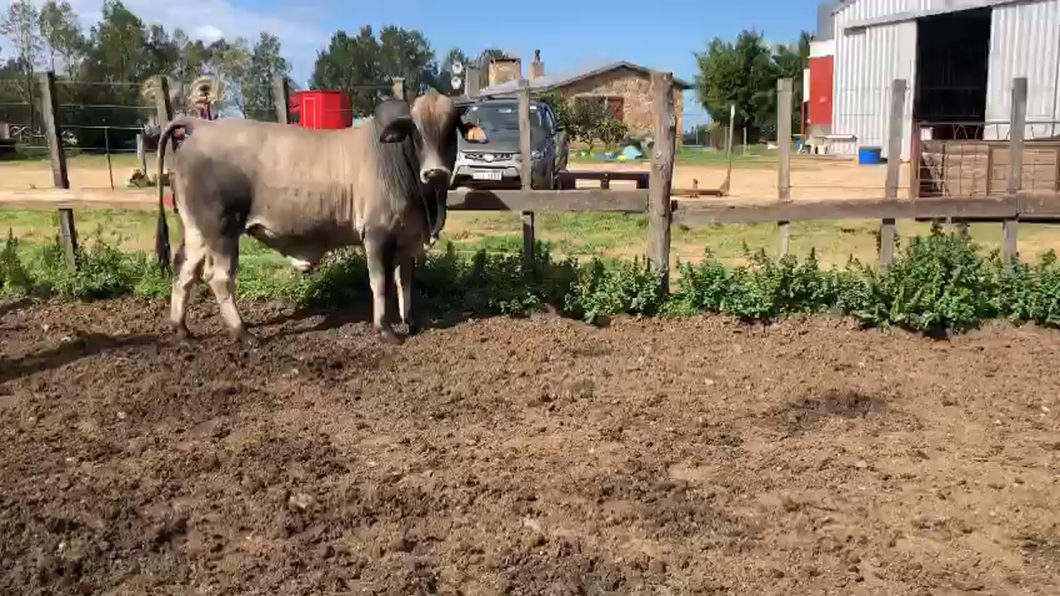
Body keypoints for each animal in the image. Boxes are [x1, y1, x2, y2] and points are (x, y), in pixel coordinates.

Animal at [152, 92, 487, 343]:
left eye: (452, 128)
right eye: (415, 131)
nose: (435, 171)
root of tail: (199, 126)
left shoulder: (408, 238)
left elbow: (404, 281)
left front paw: (411, 322)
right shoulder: (377, 235)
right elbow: (380, 283)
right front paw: (385, 329)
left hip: (197, 230)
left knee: (184, 271)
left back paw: (182, 329)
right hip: (221, 229)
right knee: (218, 278)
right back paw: (243, 334)